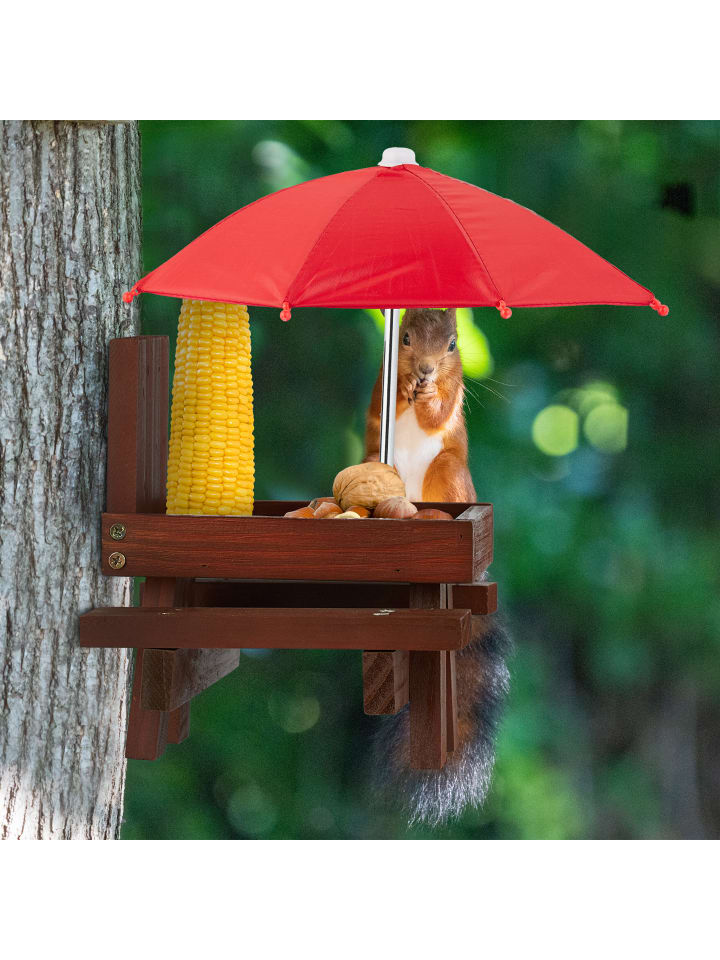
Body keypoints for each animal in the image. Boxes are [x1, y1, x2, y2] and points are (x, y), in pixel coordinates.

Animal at [364, 307, 512, 827]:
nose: (425, 371)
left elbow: (441, 412)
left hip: (448, 475)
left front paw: (427, 398)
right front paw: (407, 385)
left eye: (452, 344)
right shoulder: (380, 385)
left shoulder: (456, 388)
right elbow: (382, 405)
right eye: (404, 338)